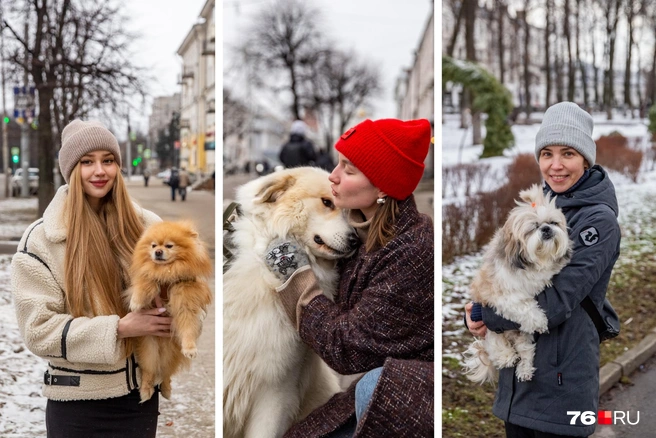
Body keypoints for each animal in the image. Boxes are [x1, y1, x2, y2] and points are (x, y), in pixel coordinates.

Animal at [131, 221, 215, 402]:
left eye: (169, 246)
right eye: (153, 245)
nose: (158, 252)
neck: (168, 271)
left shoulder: (186, 303)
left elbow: (188, 327)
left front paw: (190, 348)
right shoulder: (148, 274)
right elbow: (144, 282)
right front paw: (136, 302)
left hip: (172, 353)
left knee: (166, 372)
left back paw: (166, 389)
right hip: (150, 349)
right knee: (149, 370)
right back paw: (146, 390)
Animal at [462, 185, 576, 384]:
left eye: (553, 222)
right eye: (534, 227)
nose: (546, 229)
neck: (536, 260)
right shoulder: (502, 294)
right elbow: (523, 306)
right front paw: (539, 321)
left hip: (521, 334)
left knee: (526, 349)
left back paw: (524, 368)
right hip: (491, 331)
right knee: (495, 346)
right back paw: (507, 357)